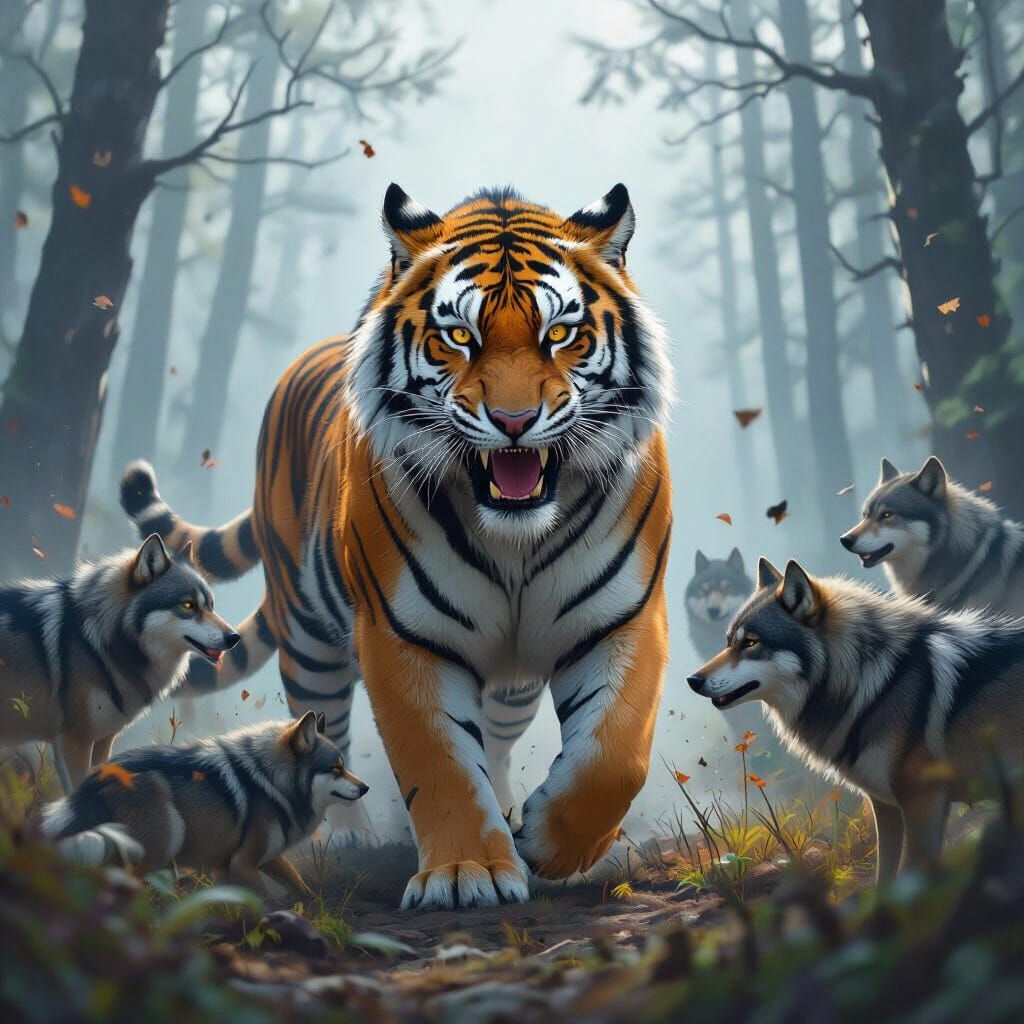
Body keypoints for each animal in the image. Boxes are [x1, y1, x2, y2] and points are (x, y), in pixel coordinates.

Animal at [120, 183, 674, 910]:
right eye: (459, 336)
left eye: (559, 334)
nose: (515, 422)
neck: (515, 541)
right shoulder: (405, 636)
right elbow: (438, 762)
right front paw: (466, 873)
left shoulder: (622, 620)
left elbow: (615, 755)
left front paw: (549, 846)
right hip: (310, 644)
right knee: (321, 733)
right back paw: (351, 840)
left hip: (512, 686)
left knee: (498, 742)